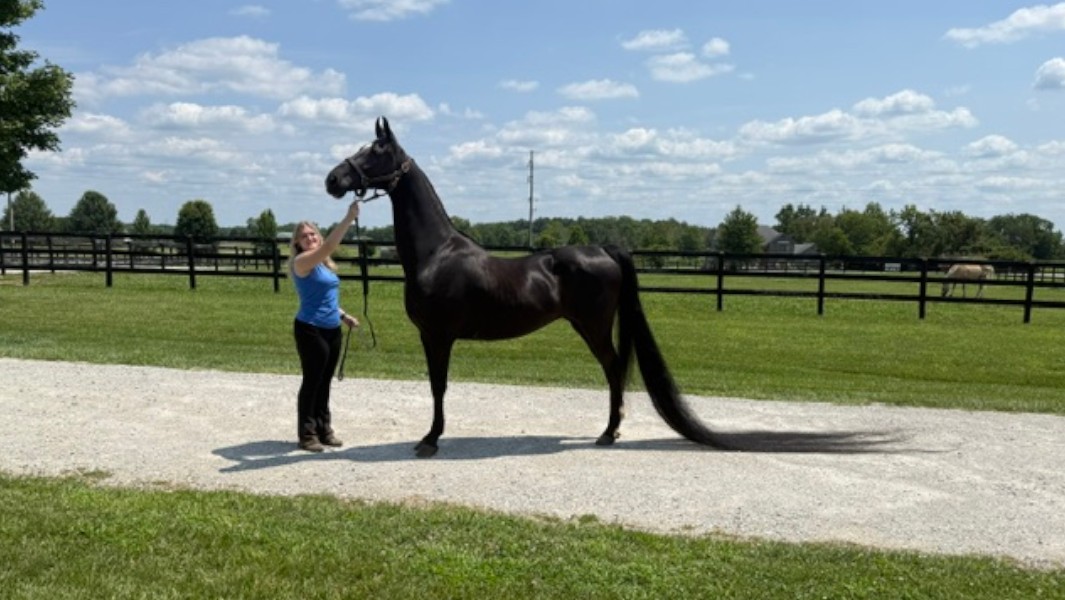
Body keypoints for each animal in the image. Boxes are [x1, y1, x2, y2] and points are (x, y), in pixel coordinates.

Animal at [324, 117, 728, 457]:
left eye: (377, 151)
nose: (333, 180)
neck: (436, 252)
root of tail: (603, 249)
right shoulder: (432, 336)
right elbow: (437, 385)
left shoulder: (437, 336)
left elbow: (438, 386)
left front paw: (430, 440)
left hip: (594, 326)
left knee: (613, 370)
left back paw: (608, 433)